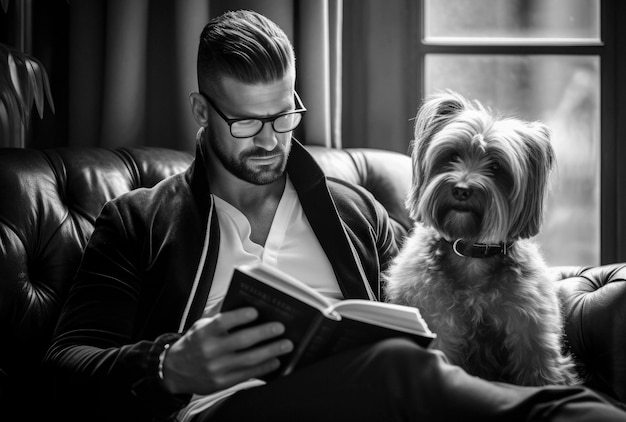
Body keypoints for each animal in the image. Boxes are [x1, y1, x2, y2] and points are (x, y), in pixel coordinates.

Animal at [382, 91, 576, 386]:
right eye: (452, 155)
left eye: (496, 167)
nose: (462, 190)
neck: (470, 249)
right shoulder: (437, 321)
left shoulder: (531, 328)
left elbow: (540, 367)